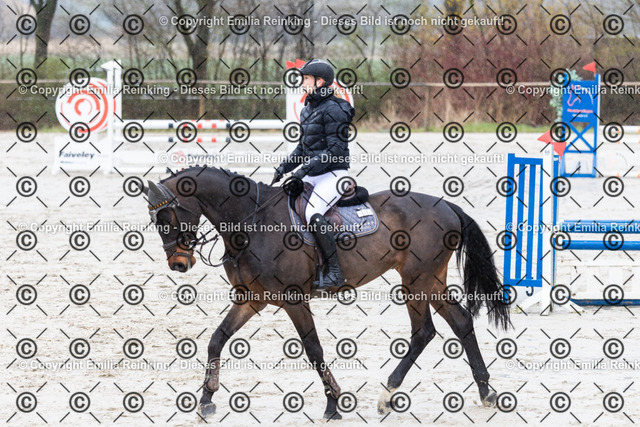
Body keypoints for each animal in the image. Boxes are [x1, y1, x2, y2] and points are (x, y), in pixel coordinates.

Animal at [141, 166, 511, 420]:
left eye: (167, 216)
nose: (178, 264)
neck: (252, 223)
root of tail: (447, 206)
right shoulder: (251, 299)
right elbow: (216, 339)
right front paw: (206, 400)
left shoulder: (294, 300)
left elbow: (314, 349)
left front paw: (333, 403)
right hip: (431, 280)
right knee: (460, 322)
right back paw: (485, 392)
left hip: (415, 281)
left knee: (423, 332)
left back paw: (387, 394)